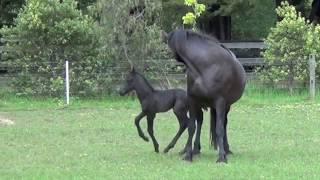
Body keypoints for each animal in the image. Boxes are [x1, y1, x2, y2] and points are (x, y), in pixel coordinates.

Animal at [164, 29, 246, 163]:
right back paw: (195, 150)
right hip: (201, 105)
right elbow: (191, 127)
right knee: (200, 121)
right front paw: (188, 155)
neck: (206, 67)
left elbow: (219, 129)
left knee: (224, 123)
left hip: (226, 106)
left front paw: (221, 157)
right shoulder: (193, 100)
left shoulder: (220, 102)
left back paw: (226, 150)